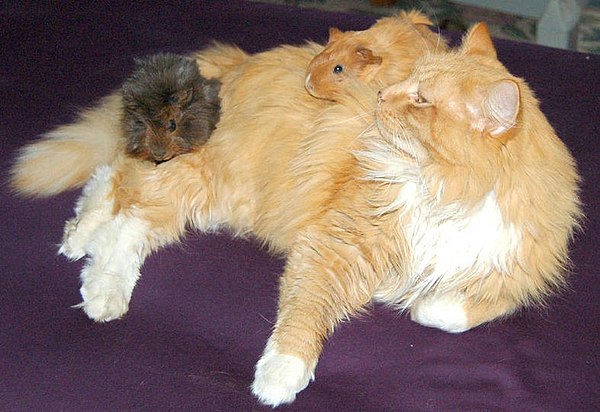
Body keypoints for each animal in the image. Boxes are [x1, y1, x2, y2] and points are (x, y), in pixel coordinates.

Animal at [10, 22, 580, 406]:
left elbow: (451, 312)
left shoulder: (508, 276)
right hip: (201, 181)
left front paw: (413, 301)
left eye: (419, 100)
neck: (449, 192)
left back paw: (77, 238)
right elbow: (302, 317)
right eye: (408, 84)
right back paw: (100, 288)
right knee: (125, 218)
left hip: (213, 196)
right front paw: (280, 375)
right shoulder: (331, 245)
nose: (381, 95)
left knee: (115, 184)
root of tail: (226, 67)